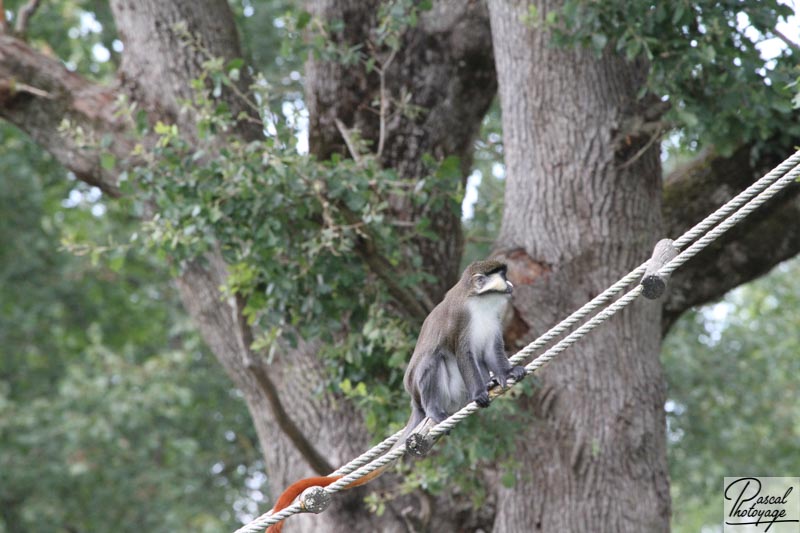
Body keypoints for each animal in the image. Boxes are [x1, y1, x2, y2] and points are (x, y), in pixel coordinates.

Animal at [262, 258, 524, 532]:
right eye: (502, 275)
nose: (510, 285)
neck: (480, 301)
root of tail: (415, 402)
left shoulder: (492, 321)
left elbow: (492, 349)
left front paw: (507, 373)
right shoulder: (461, 319)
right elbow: (463, 353)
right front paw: (480, 393)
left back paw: (490, 381)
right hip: (428, 388)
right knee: (433, 358)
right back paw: (437, 410)